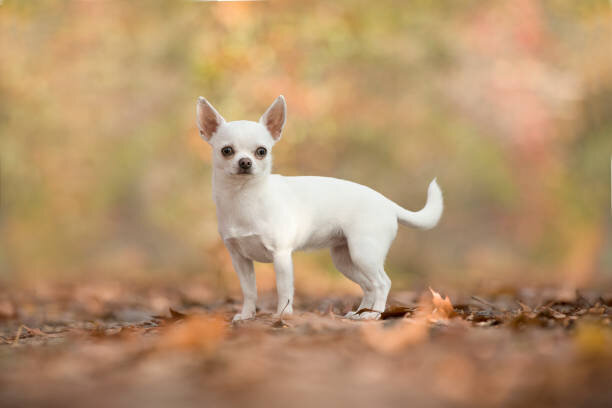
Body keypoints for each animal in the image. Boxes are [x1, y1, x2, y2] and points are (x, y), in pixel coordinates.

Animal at [198, 96, 442, 322]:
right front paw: (247, 315)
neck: (244, 197)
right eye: (226, 150)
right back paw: (360, 313)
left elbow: (284, 290)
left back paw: (373, 315)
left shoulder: (281, 256)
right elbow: (249, 291)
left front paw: (283, 316)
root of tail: (387, 203)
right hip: (346, 260)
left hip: (364, 252)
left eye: (261, 151)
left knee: (383, 283)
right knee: (370, 285)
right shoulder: (240, 260)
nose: (245, 162)